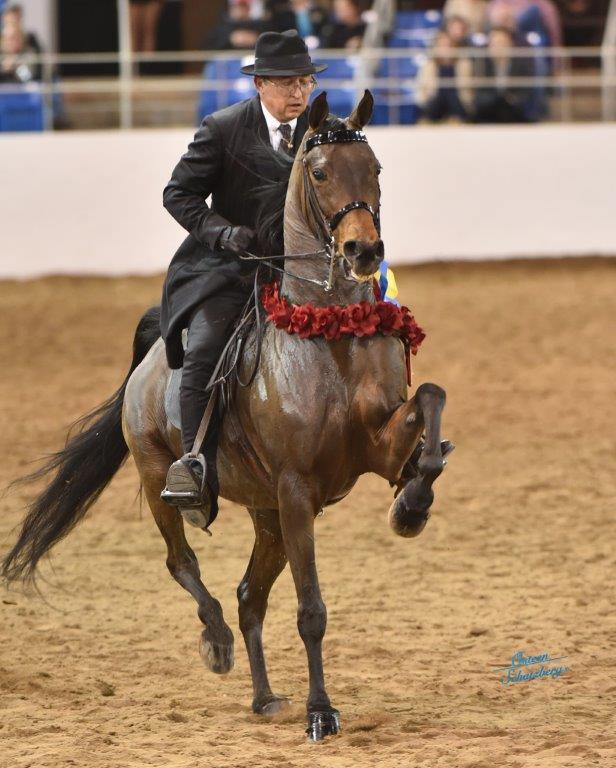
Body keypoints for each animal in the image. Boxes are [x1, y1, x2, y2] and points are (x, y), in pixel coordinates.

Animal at [1, 91, 449, 741]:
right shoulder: (297, 488)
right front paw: (321, 712)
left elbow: (431, 403)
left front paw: (412, 503)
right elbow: (311, 610)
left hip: (268, 516)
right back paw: (216, 644)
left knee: (247, 596)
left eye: (376, 169)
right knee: (183, 562)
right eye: (319, 172)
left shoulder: (370, 449)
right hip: (162, 479)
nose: (364, 252)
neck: (329, 332)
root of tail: (147, 366)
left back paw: (264, 697)